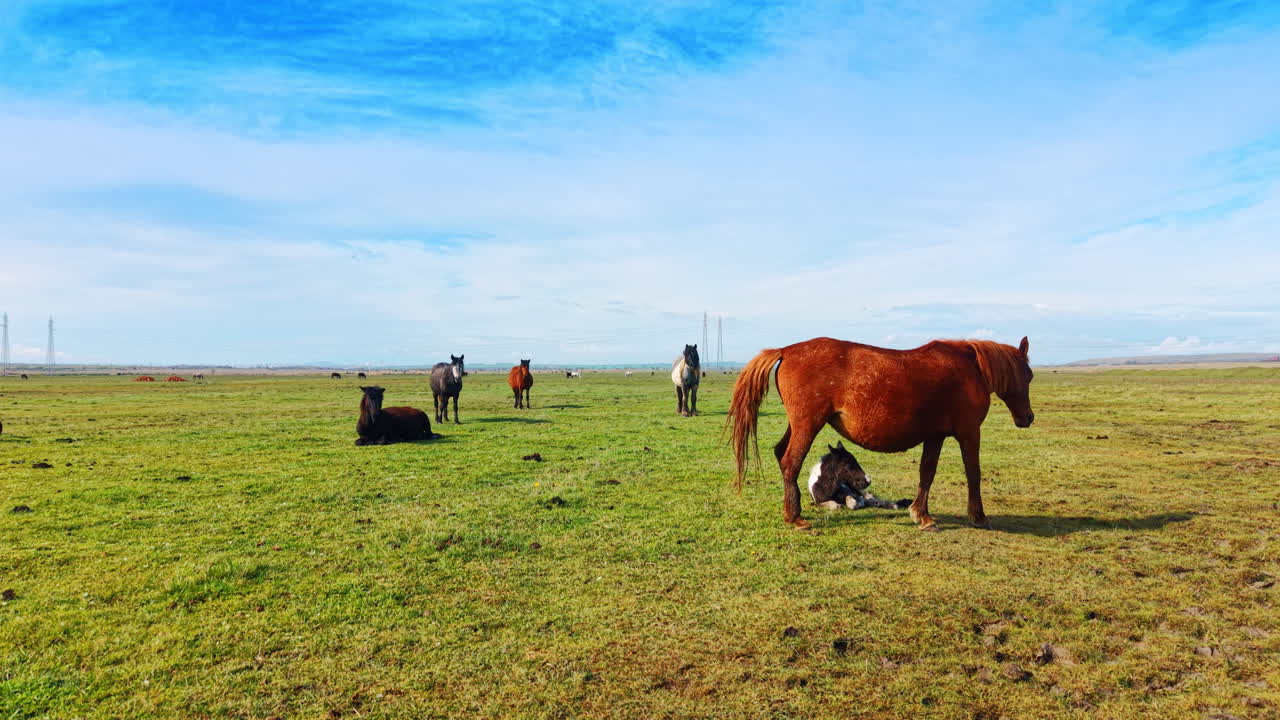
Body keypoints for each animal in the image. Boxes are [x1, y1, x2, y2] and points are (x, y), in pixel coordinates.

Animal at [728, 337, 1034, 531]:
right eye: (1029, 375)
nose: (1027, 418)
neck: (970, 370)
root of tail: (786, 350)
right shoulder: (969, 433)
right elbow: (973, 473)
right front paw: (978, 517)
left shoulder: (935, 436)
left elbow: (927, 473)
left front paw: (922, 515)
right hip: (807, 425)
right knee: (791, 462)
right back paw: (796, 519)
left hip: (798, 425)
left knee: (781, 454)